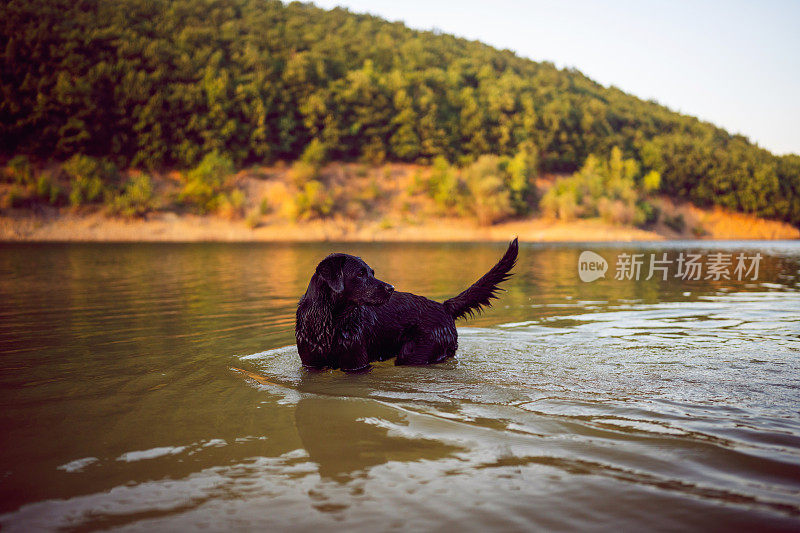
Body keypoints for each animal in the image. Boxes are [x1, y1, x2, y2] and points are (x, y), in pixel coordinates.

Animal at [294, 237, 520, 370]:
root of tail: (443, 306)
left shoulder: (357, 363)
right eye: (360, 274)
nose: (391, 288)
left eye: (372, 272)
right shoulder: (310, 364)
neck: (328, 320)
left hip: (415, 352)